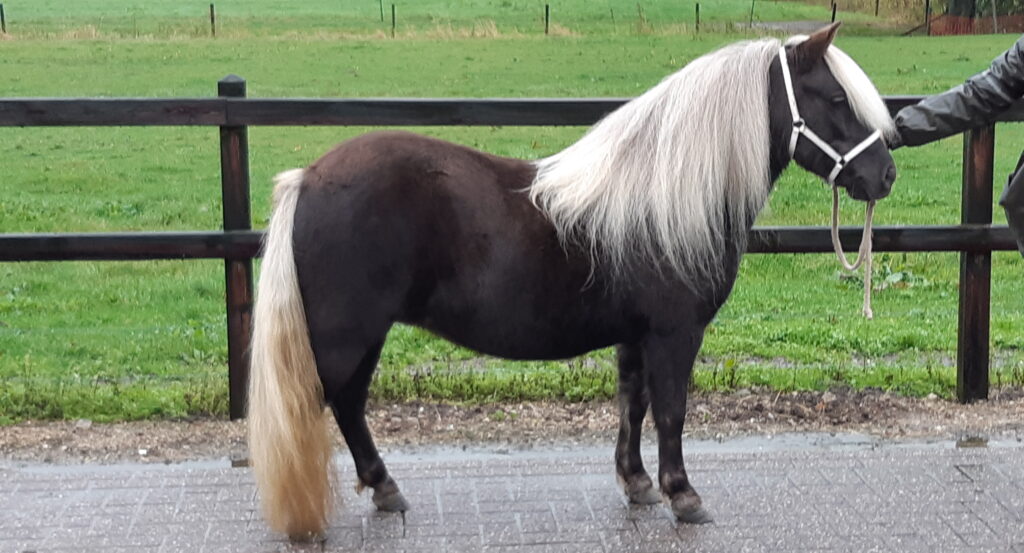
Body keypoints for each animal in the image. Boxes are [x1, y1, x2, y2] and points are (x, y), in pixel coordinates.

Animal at [247, 23, 898, 539]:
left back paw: (385, 488)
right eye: (835, 97)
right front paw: (684, 494)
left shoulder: (635, 335)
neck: (661, 197)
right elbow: (672, 411)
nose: (885, 174)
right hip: (346, 335)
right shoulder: (675, 334)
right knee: (327, 406)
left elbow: (633, 404)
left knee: (349, 405)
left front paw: (638, 483)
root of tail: (308, 177)